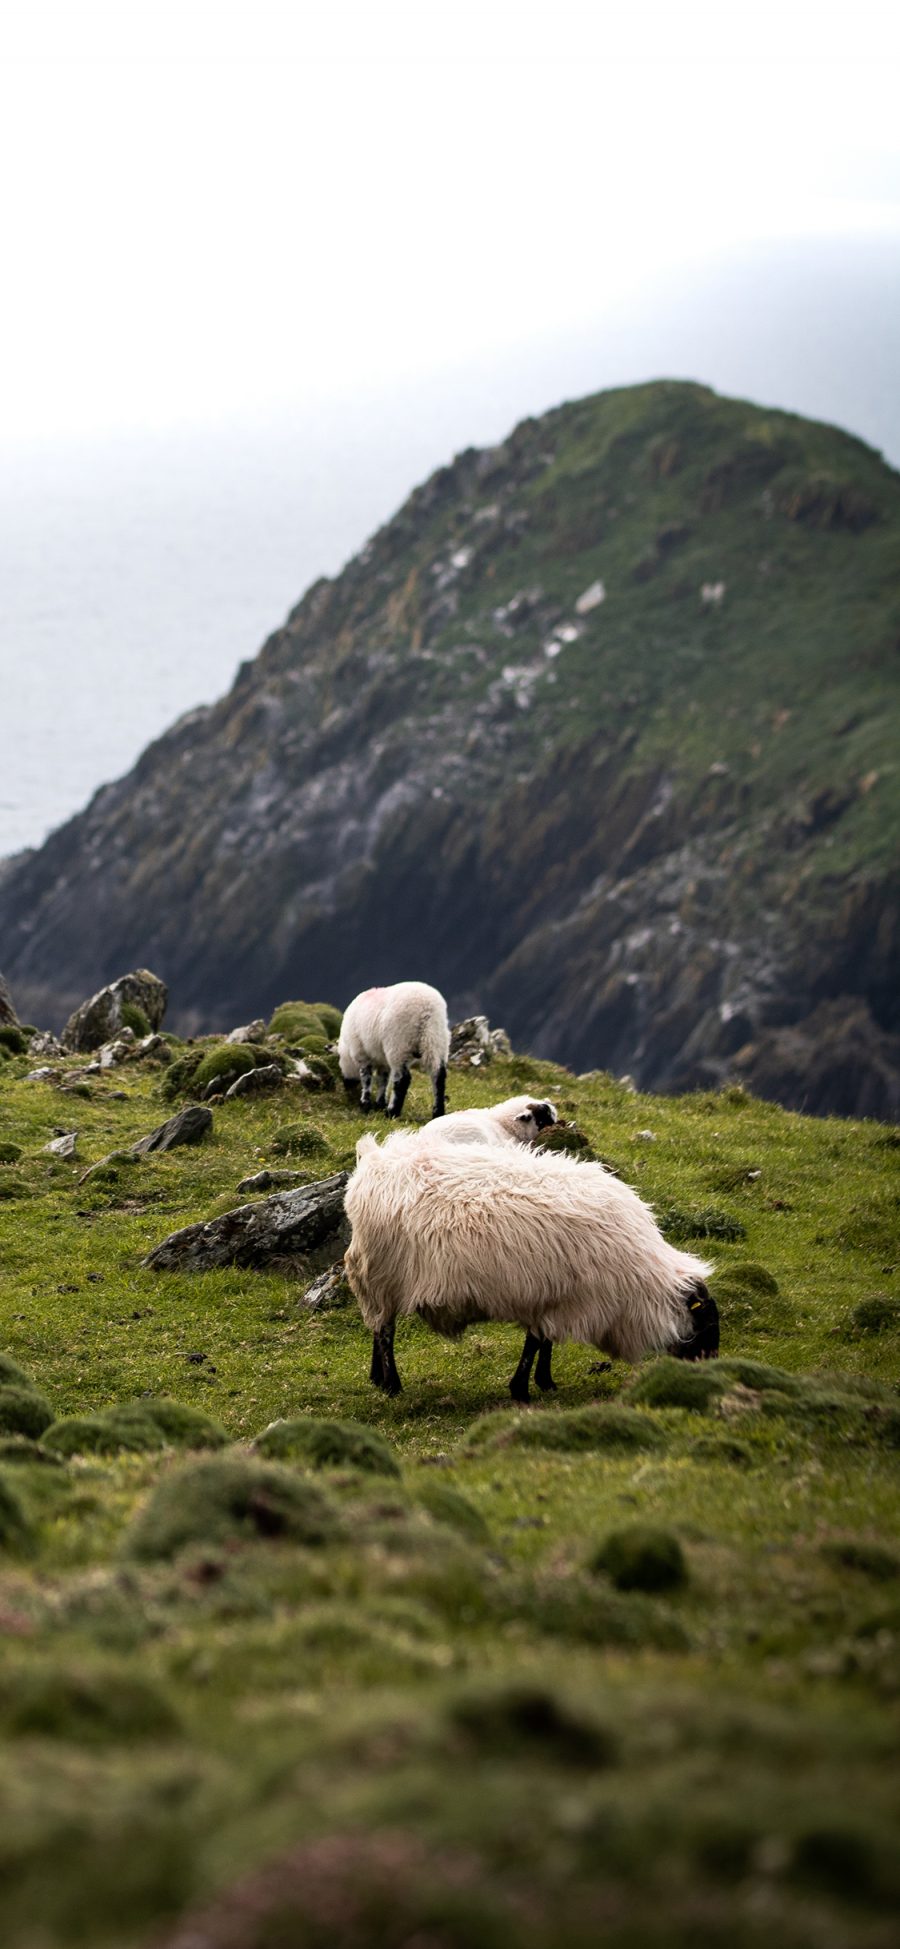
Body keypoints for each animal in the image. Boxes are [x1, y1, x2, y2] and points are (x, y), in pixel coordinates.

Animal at [337, 982, 450, 1122]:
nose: (347, 1085)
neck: (347, 1049)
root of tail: (427, 1009)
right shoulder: (383, 1060)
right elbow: (383, 1080)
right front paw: (379, 1104)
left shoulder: (361, 1054)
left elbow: (367, 1079)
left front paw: (365, 1104)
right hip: (436, 1040)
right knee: (438, 1076)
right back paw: (438, 1113)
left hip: (398, 1044)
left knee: (402, 1079)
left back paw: (392, 1112)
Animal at [340, 1138, 720, 1403]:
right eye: (704, 1321)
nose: (710, 1371)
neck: (640, 1278)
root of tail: (373, 1162)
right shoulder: (559, 1297)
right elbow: (535, 1343)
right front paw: (522, 1389)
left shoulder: (554, 1297)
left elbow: (543, 1342)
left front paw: (545, 1382)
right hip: (381, 1275)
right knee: (385, 1331)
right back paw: (392, 1384)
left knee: (378, 1328)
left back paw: (376, 1378)